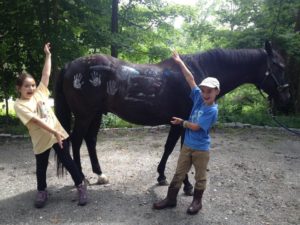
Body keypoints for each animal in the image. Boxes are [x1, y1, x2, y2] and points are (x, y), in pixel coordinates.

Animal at [54, 40, 290, 195]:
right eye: (279, 66)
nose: (286, 98)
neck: (197, 76)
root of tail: (68, 66)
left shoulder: (178, 122)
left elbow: (170, 148)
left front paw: (161, 176)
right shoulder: (185, 122)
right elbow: (183, 151)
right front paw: (186, 185)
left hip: (95, 115)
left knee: (90, 140)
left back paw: (99, 175)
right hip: (84, 115)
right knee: (75, 141)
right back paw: (80, 177)